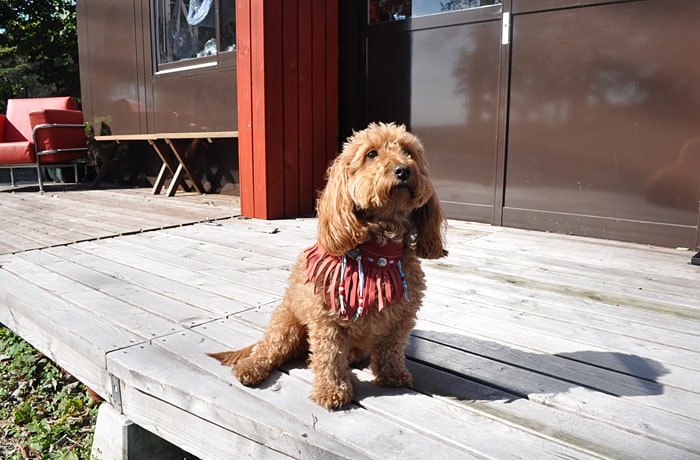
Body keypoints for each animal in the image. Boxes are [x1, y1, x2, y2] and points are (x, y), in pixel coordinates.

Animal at [209, 122, 448, 410]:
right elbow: (329, 357)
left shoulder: (401, 316)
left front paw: (392, 375)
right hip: (286, 325)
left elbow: (391, 348)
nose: (403, 169)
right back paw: (251, 368)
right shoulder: (327, 319)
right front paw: (331, 390)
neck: (377, 253)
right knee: (268, 350)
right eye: (371, 154)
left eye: (408, 152)